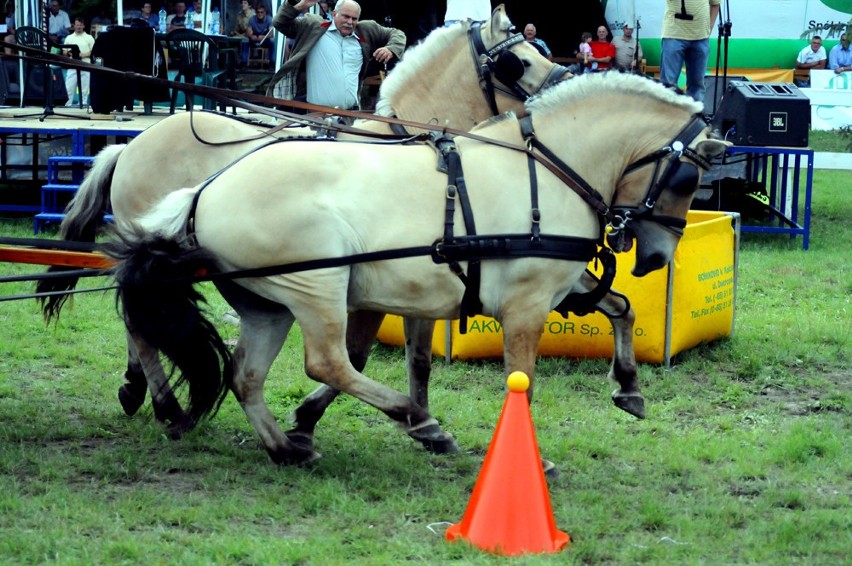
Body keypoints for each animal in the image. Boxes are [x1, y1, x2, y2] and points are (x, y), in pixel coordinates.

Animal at [38, 4, 572, 438]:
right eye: (519, 59)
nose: (565, 82)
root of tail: (128, 147)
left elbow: (418, 360)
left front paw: (422, 423)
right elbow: (355, 356)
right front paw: (325, 421)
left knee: (139, 322)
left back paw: (136, 388)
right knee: (139, 322)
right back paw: (166, 405)